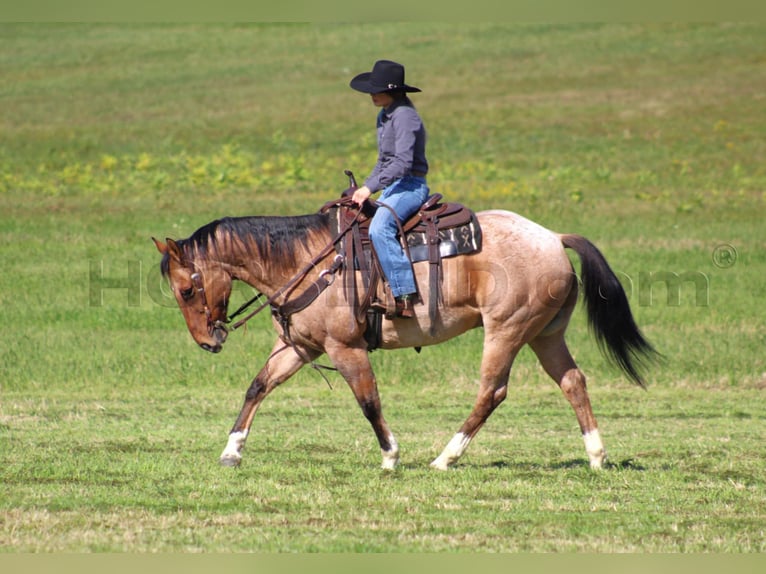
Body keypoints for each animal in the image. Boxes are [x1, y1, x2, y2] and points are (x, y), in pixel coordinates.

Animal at [153, 194, 656, 472]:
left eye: (186, 288)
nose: (207, 341)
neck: (308, 259)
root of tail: (553, 237)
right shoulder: (299, 347)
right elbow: (257, 387)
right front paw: (232, 450)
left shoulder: (344, 346)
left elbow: (368, 399)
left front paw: (391, 455)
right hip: (544, 334)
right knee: (573, 382)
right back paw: (596, 455)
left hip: (507, 331)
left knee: (492, 391)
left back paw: (445, 458)